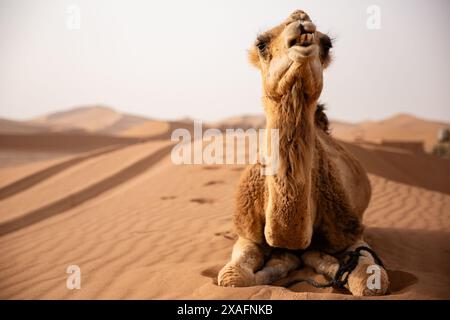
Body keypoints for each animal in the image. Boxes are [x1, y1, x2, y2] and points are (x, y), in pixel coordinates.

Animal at [216, 10, 388, 296]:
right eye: (261, 44)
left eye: (327, 44)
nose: (302, 23)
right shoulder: (248, 233)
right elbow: (233, 278)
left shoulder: (349, 232)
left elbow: (370, 283)